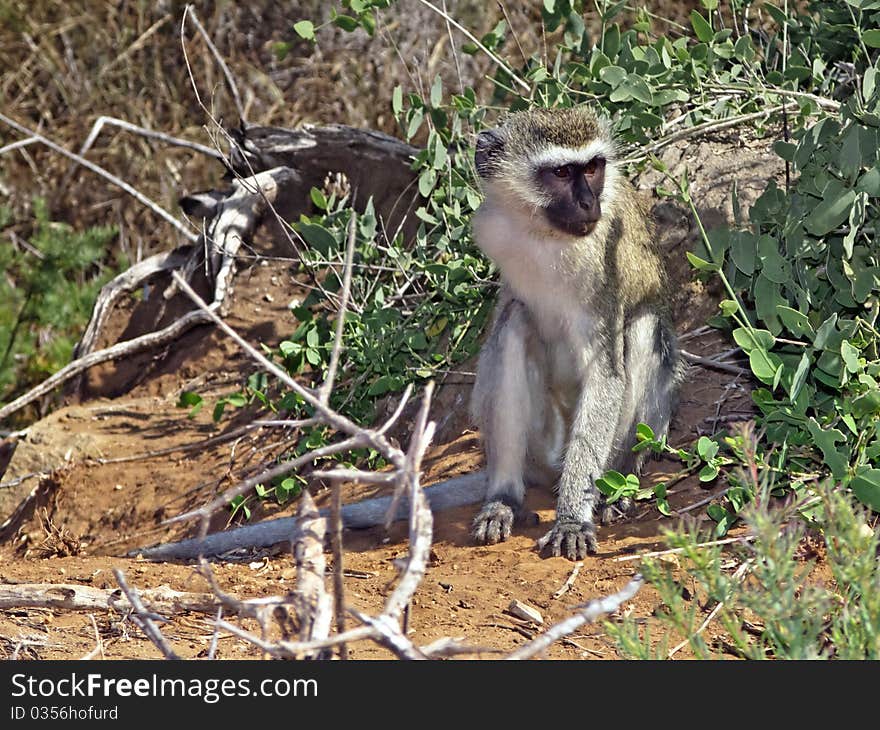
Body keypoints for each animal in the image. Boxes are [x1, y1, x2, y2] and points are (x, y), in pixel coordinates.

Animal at [468, 104, 680, 556]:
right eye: (562, 173)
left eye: (593, 168)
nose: (588, 202)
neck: (543, 234)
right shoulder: (494, 229)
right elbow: (507, 313)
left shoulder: (603, 262)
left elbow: (606, 373)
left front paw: (571, 519)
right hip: (544, 443)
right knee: (515, 323)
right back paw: (505, 497)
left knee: (643, 326)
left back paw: (617, 489)